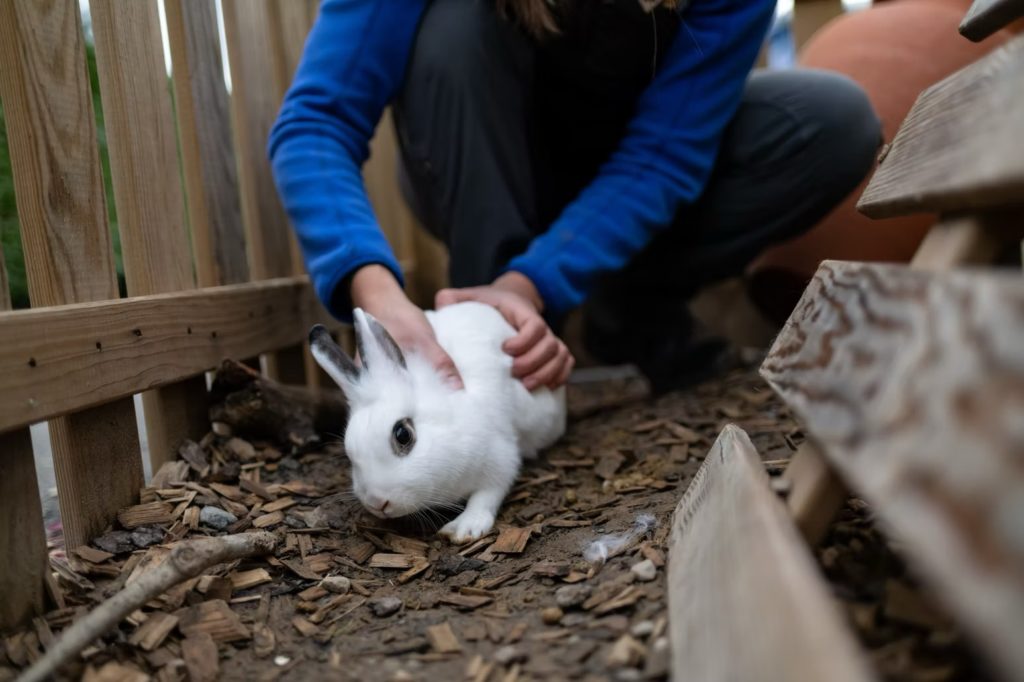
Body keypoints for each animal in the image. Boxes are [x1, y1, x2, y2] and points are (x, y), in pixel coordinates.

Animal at [309, 301, 567, 543]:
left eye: (403, 435)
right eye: (349, 452)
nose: (377, 502)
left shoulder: (500, 459)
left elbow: (487, 495)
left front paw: (464, 528)